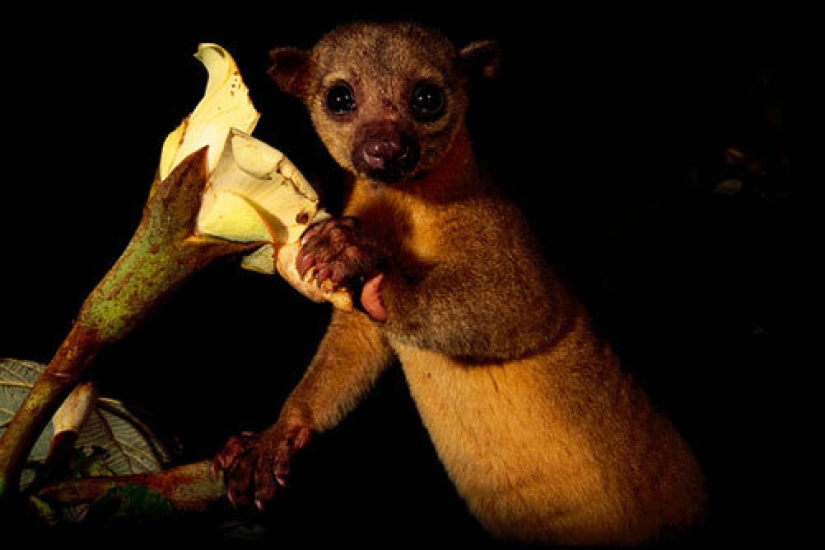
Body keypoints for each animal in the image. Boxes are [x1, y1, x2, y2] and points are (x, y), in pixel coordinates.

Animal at [213, 20, 708, 546]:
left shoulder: (491, 222)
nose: (385, 148)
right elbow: (359, 341)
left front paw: (356, 255)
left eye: (427, 98)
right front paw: (277, 434)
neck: (402, 204)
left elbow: (523, 304)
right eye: (340, 98)